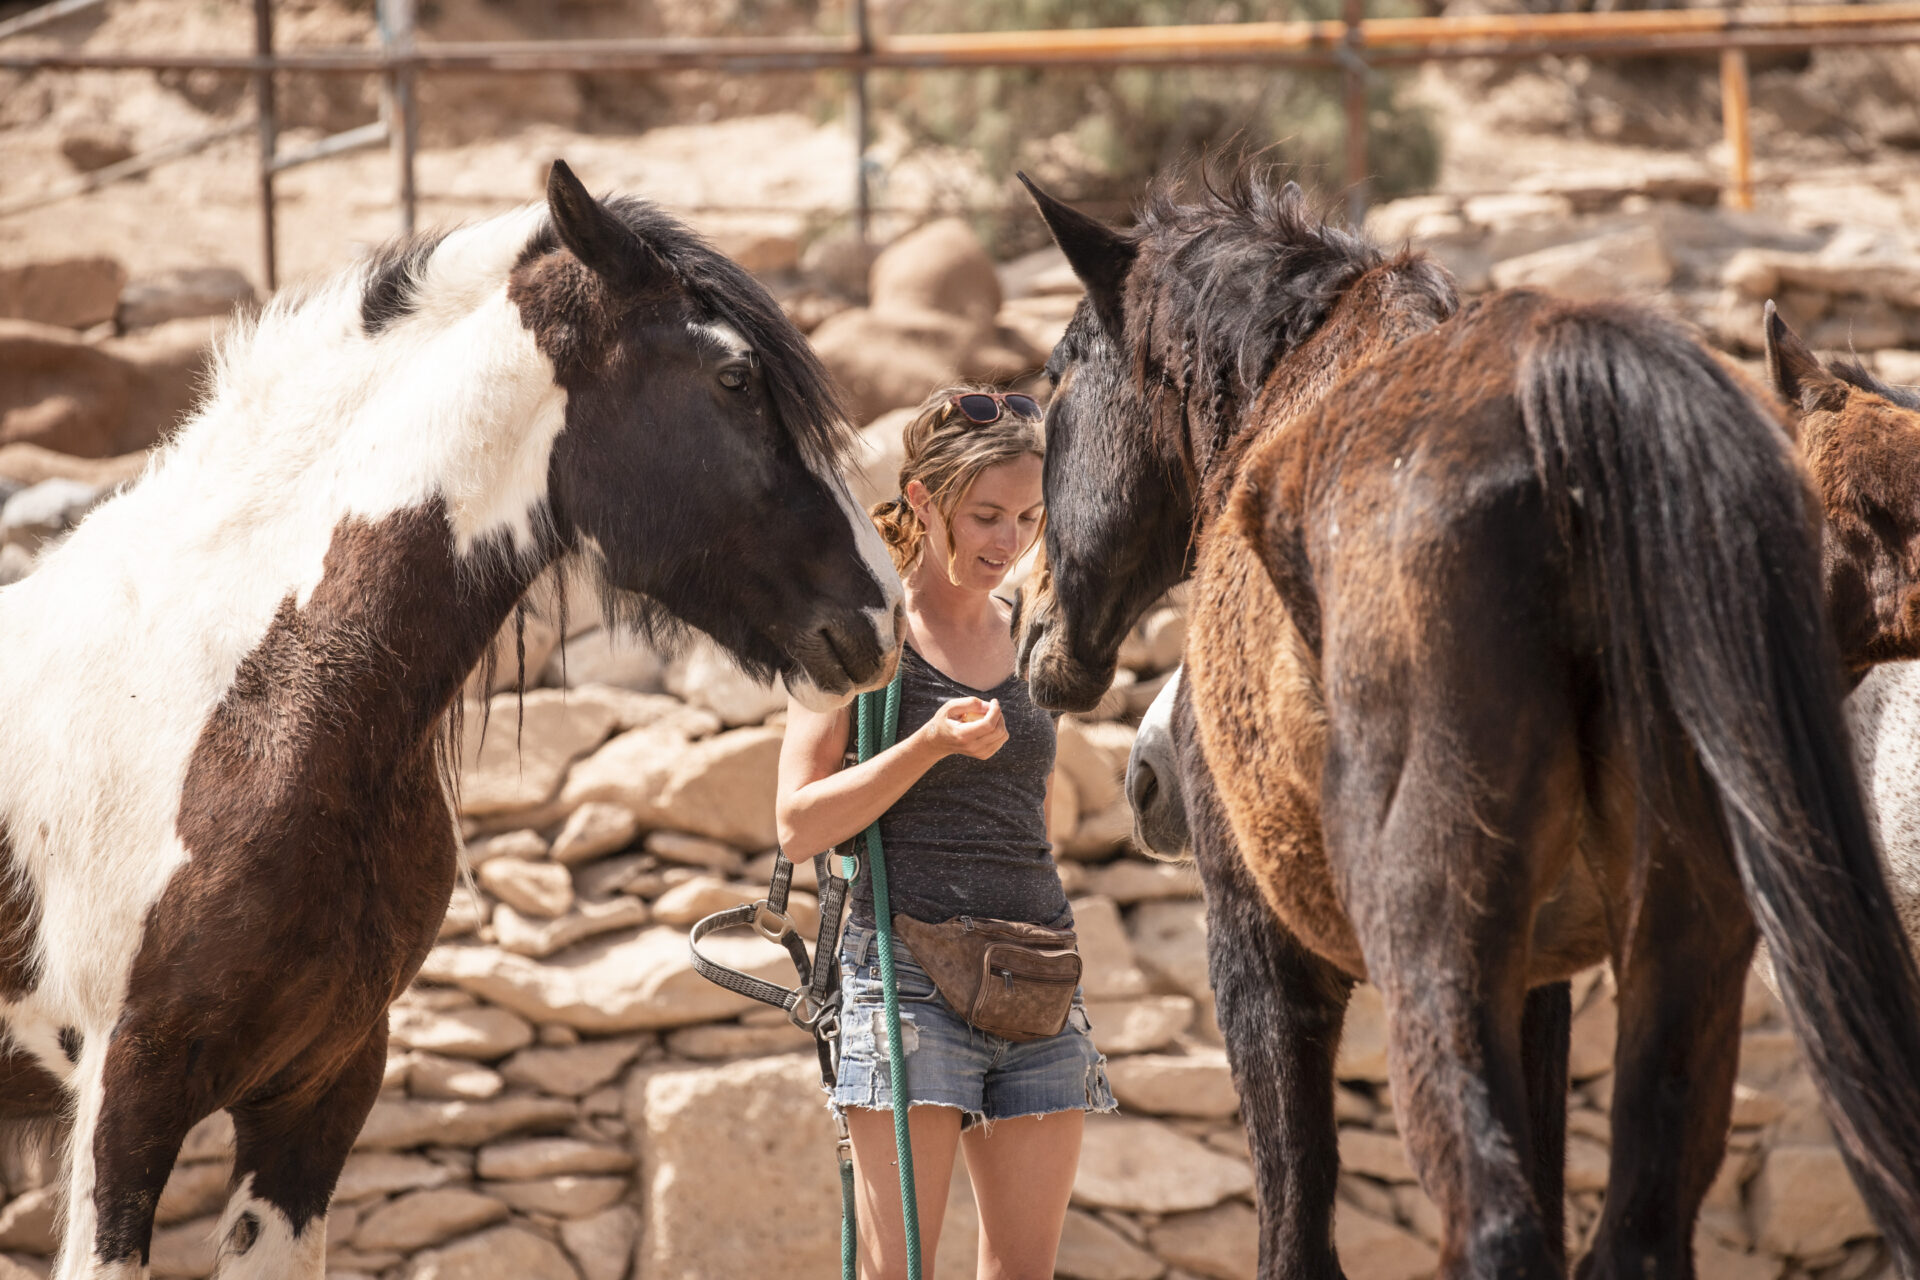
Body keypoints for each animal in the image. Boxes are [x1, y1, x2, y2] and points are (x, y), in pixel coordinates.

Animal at [1012, 161, 1920, 1280]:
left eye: (1055, 386)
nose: (1025, 612)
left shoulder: (1257, 944)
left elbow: (1296, 1229)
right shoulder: (1541, 981)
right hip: (1684, 944)